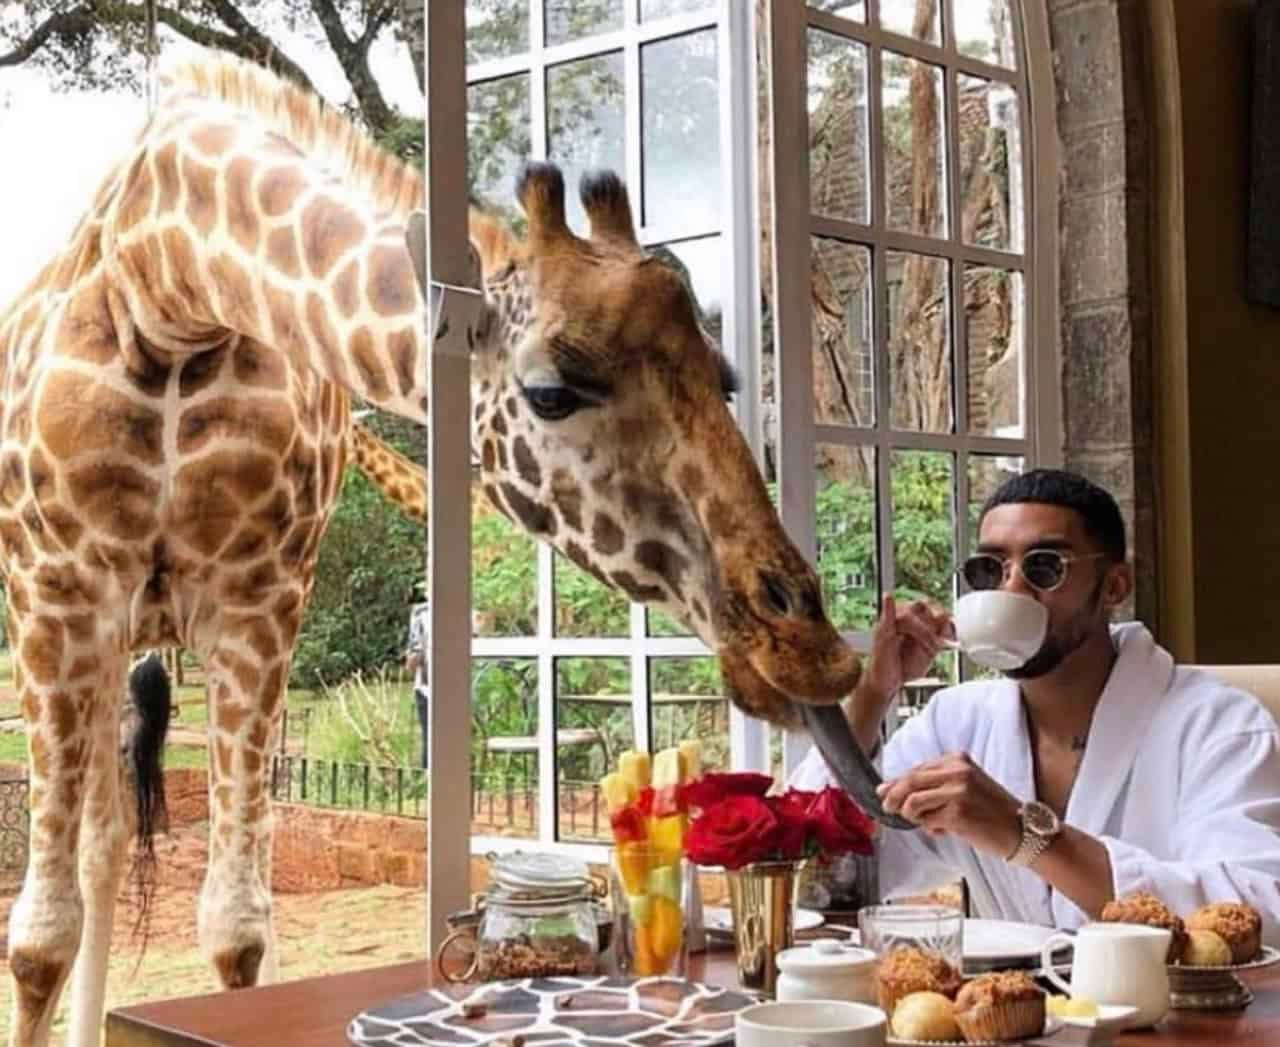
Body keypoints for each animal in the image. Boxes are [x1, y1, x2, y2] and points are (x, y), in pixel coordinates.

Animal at [0, 48, 885, 1047]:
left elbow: (236, 927)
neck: (170, 293)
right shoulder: (55, 592)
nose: (811, 650)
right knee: (93, 851)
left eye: (723, 374)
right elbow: (38, 939)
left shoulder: (261, 601)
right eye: (551, 390)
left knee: (107, 838)